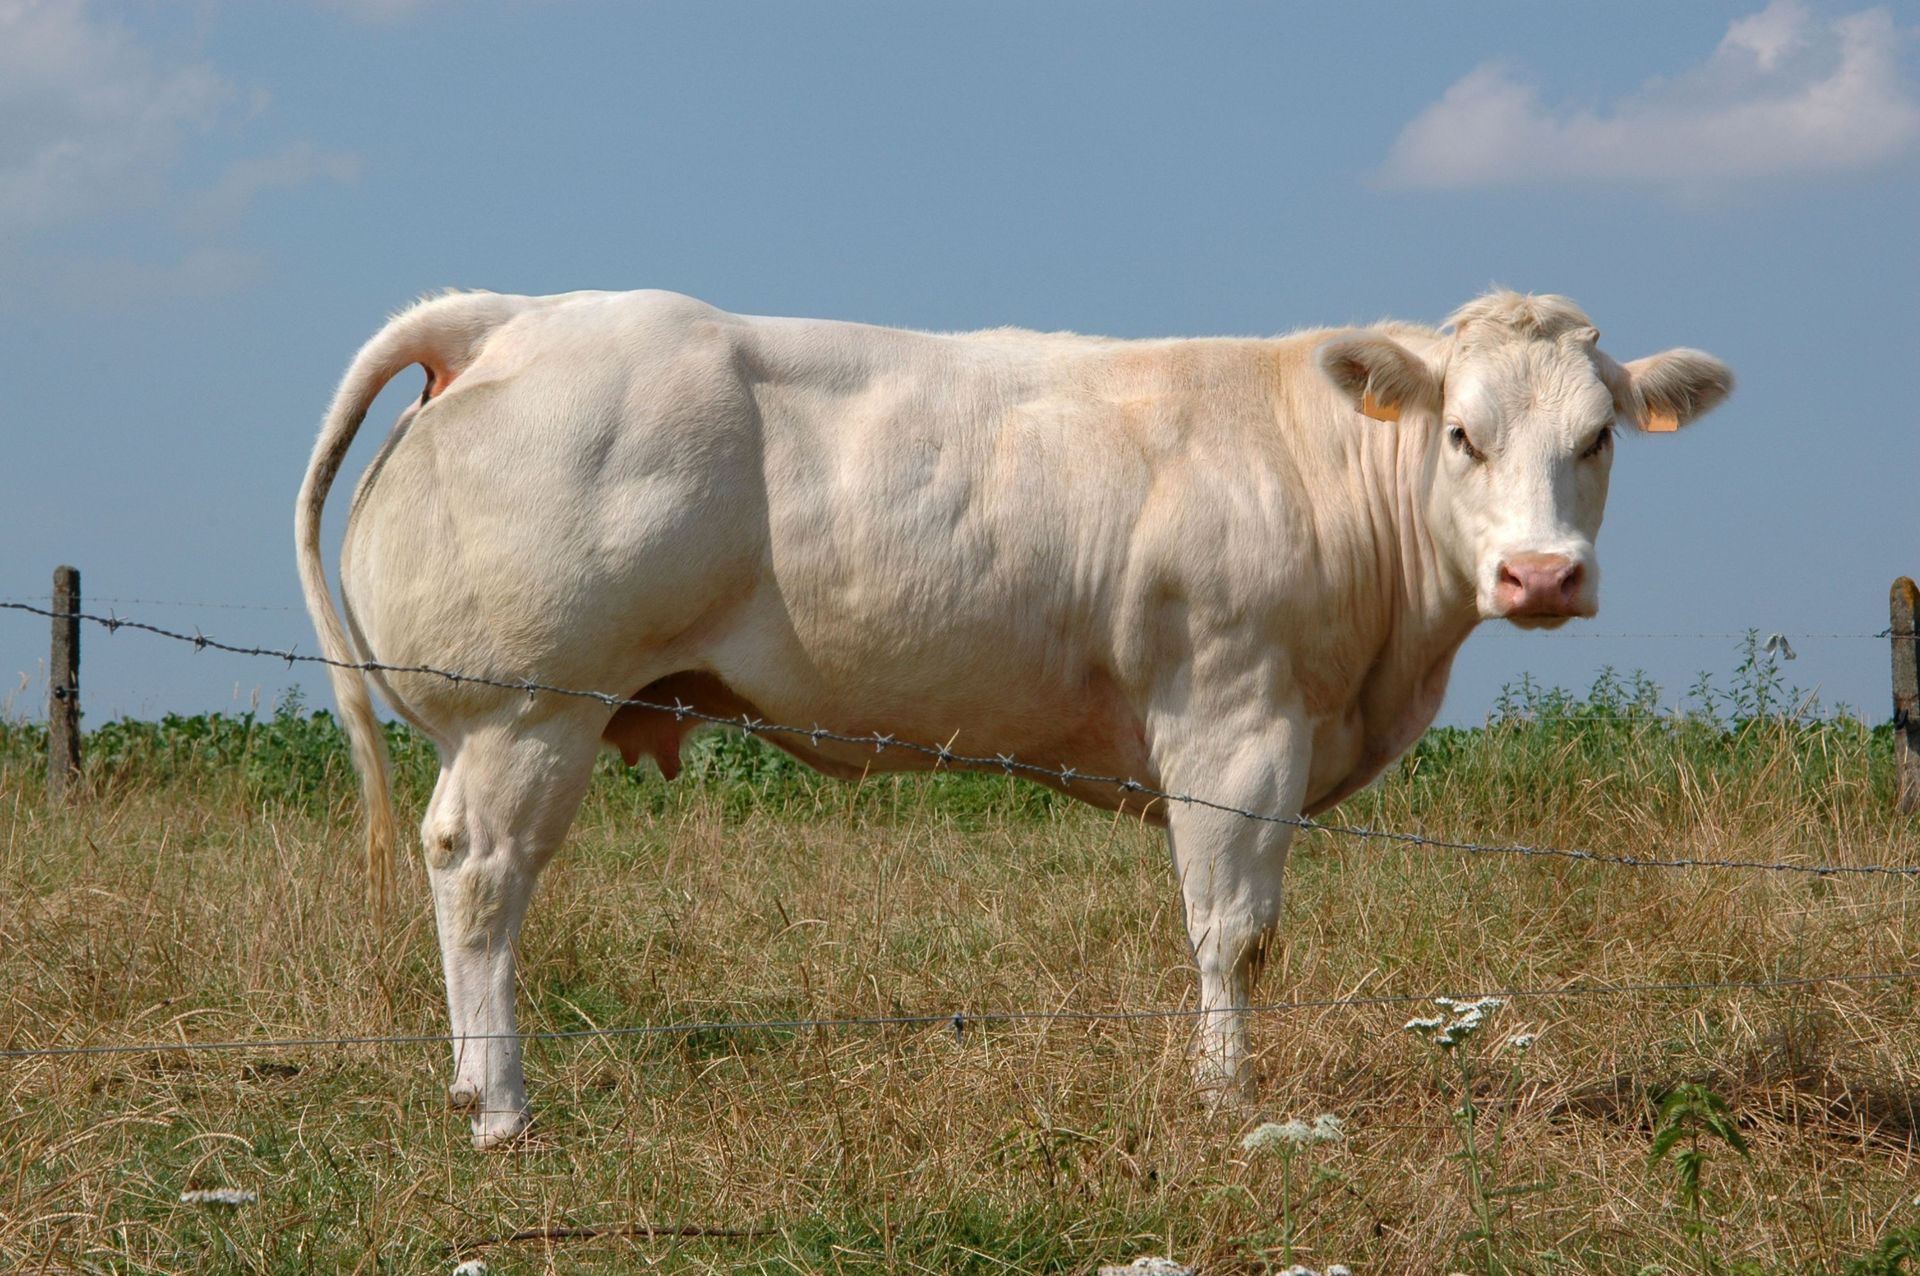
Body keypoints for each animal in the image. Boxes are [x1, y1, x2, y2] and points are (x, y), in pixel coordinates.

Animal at [295, 287, 1728, 1143]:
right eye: (1463, 434)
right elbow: (1232, 932)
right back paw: (502, 1107)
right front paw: (1227, 1097)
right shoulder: (1233, 717)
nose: (1541, 575)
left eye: (1599, 437)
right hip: (530, 713)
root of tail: (511, 315)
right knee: (483, 880)